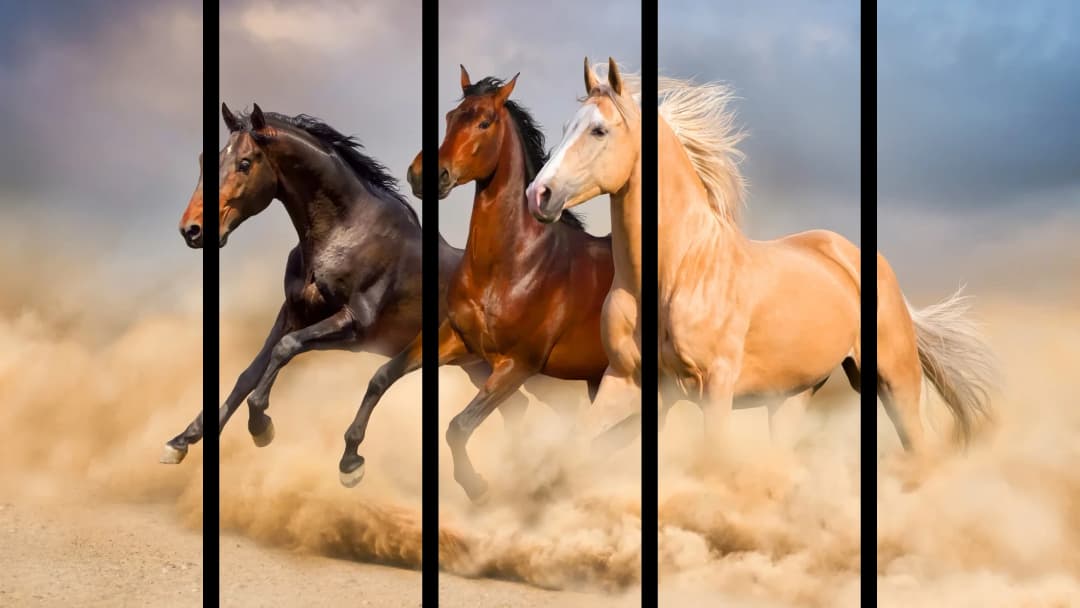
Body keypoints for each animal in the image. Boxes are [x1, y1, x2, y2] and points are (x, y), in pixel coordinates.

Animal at [164, 103, 536, 487]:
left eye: (245, 163)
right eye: (204, 159)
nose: (192, 230)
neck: (345, 232)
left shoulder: (353, 325)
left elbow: (285, 350)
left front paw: (261, 427)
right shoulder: (293, 314)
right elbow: (249, 374)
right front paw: (182, 441)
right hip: (476, 365)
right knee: (515, 408)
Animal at [384, 66, 614, 502]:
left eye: (485, 122)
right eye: (449, 117)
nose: (425, 175)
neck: (513, 265)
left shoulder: (517, 365)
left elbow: (458, 426)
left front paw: (477, 488)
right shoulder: (458, 340)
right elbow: (388, 375)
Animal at [529, 59, 996, 453]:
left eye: (599, 131)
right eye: (567, 126)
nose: (539, 194)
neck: (677, 270)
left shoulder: (714, 388)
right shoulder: (625, 381)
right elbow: (579, 445)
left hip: (895, 381)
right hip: (792, 397)